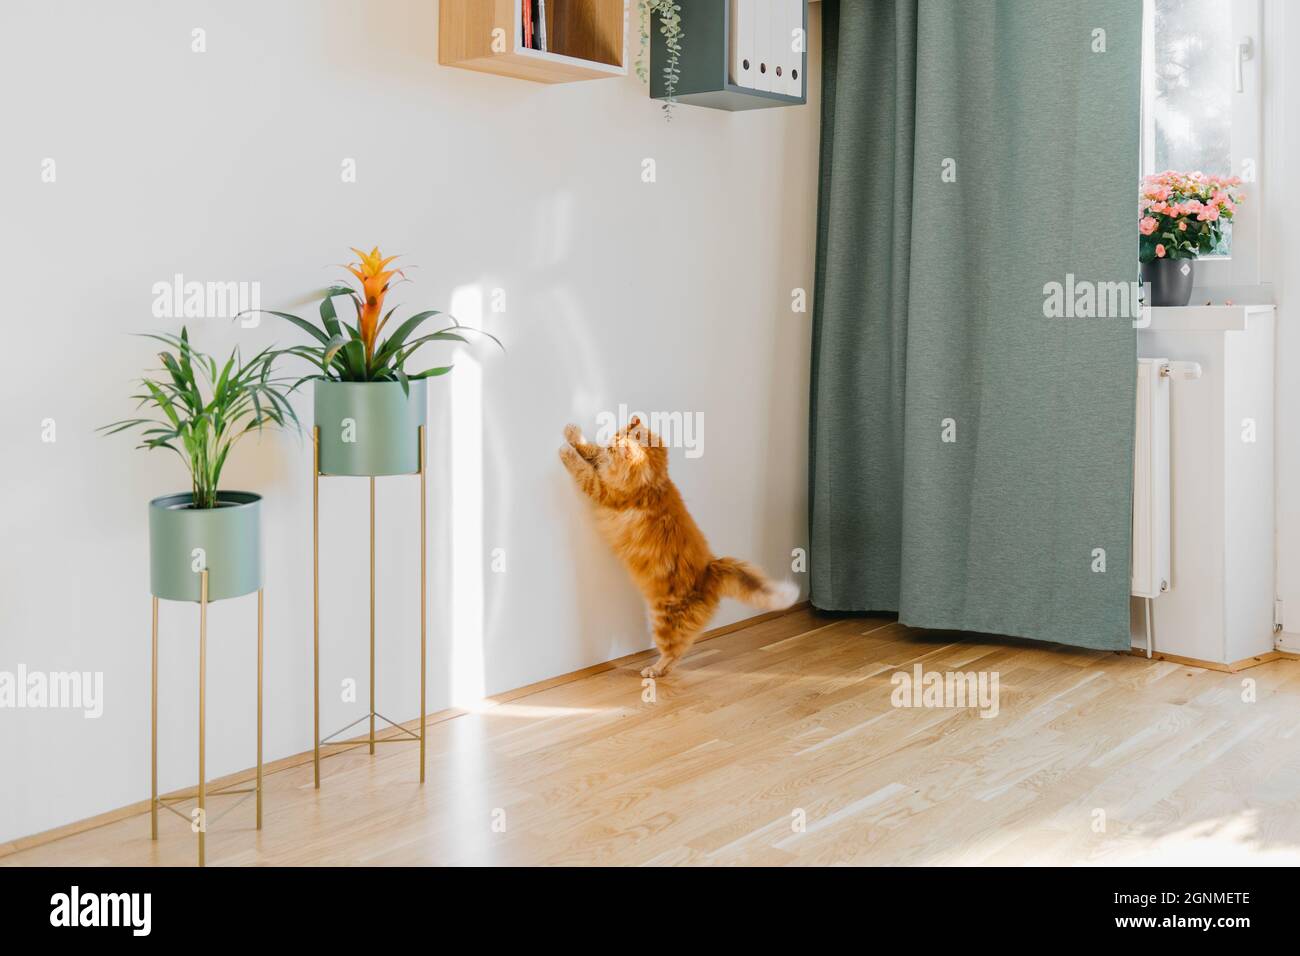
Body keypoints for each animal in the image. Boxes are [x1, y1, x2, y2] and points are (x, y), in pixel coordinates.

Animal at [561, 418, 795, 681]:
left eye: (614, 448)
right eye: (612, 440)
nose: (610, 444)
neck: (653, 482)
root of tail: (710, 570)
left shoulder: (604, 491)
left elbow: (584, 471)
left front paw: (566, 451)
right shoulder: (603, 468)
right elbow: (590, 451)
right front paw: (574, 435)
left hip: (664, 619)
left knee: (673, 653)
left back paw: (653, 670)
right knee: (679, 653)